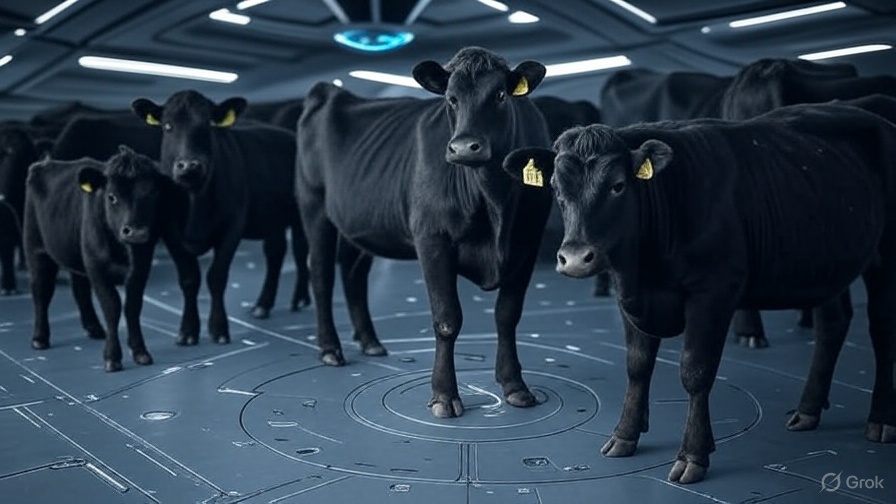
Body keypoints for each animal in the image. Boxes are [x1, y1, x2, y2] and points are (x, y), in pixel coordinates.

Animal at [23, 146, 193, 371]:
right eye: (112, 197)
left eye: (152, 193)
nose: (137, 232)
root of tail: (45, 163)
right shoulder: (97, 268)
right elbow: (112, 306)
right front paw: (112, 357)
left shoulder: (141, 267)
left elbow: (132, 306)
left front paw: (140, 351)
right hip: (36, 249)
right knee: (41, 290)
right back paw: (40, 337)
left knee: (79, 288)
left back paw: (94, 328)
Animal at [131, 90, 310, 344]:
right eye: (168, 126)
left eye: (208, 125)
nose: (189, 165)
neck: (194, 204)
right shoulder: (170, 232)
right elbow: (188, 279)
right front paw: (187, 331)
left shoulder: (232, 226)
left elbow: (216, 276)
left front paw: (218, 329)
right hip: (272, 218)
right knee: (275, 253)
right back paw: (263, 305)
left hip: (300, 214)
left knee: (301, 249)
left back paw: (299, 299)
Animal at [295, 46, 554, 418]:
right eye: (451, 98)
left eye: (500, 95)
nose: (463, 147)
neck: (494, 200)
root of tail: (331, 91)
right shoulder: (432, 238)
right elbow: (447, 319)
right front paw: (444, 395)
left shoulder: (528, 241)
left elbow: (508, 315)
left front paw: (515, 385)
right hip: (313, 205)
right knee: (321, 274)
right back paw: (330, 349)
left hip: (362, 222)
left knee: (353, 274)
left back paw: (370, 342)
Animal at [502, 102, 896, 483]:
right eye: (556, 188)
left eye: (617, 185)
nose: (574, 258)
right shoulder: (629, 293)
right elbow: (637, 365)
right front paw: (625, 435)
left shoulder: (714, 292)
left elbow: (696, 371)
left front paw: (693, 455)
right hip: (830, 260)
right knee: (833, 323)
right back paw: (807, 411)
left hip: (883, 259)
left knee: (881, 330)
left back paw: (880, 420)